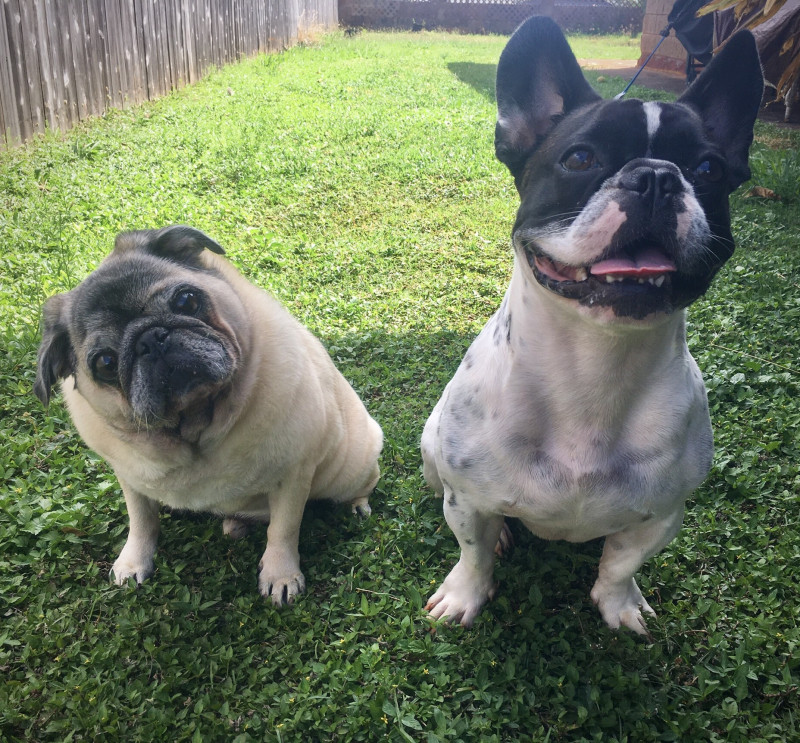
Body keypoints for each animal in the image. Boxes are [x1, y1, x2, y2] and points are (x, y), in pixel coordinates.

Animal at [418, 17, 764, 632]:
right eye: (579, 159)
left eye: (709, 170)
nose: (657, 177)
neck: (597, 360)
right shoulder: (466, 499)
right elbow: (473, 551)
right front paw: (465, 594)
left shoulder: (662, 516)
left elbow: (621, 563)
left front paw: (618, 604)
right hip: (432, 452)